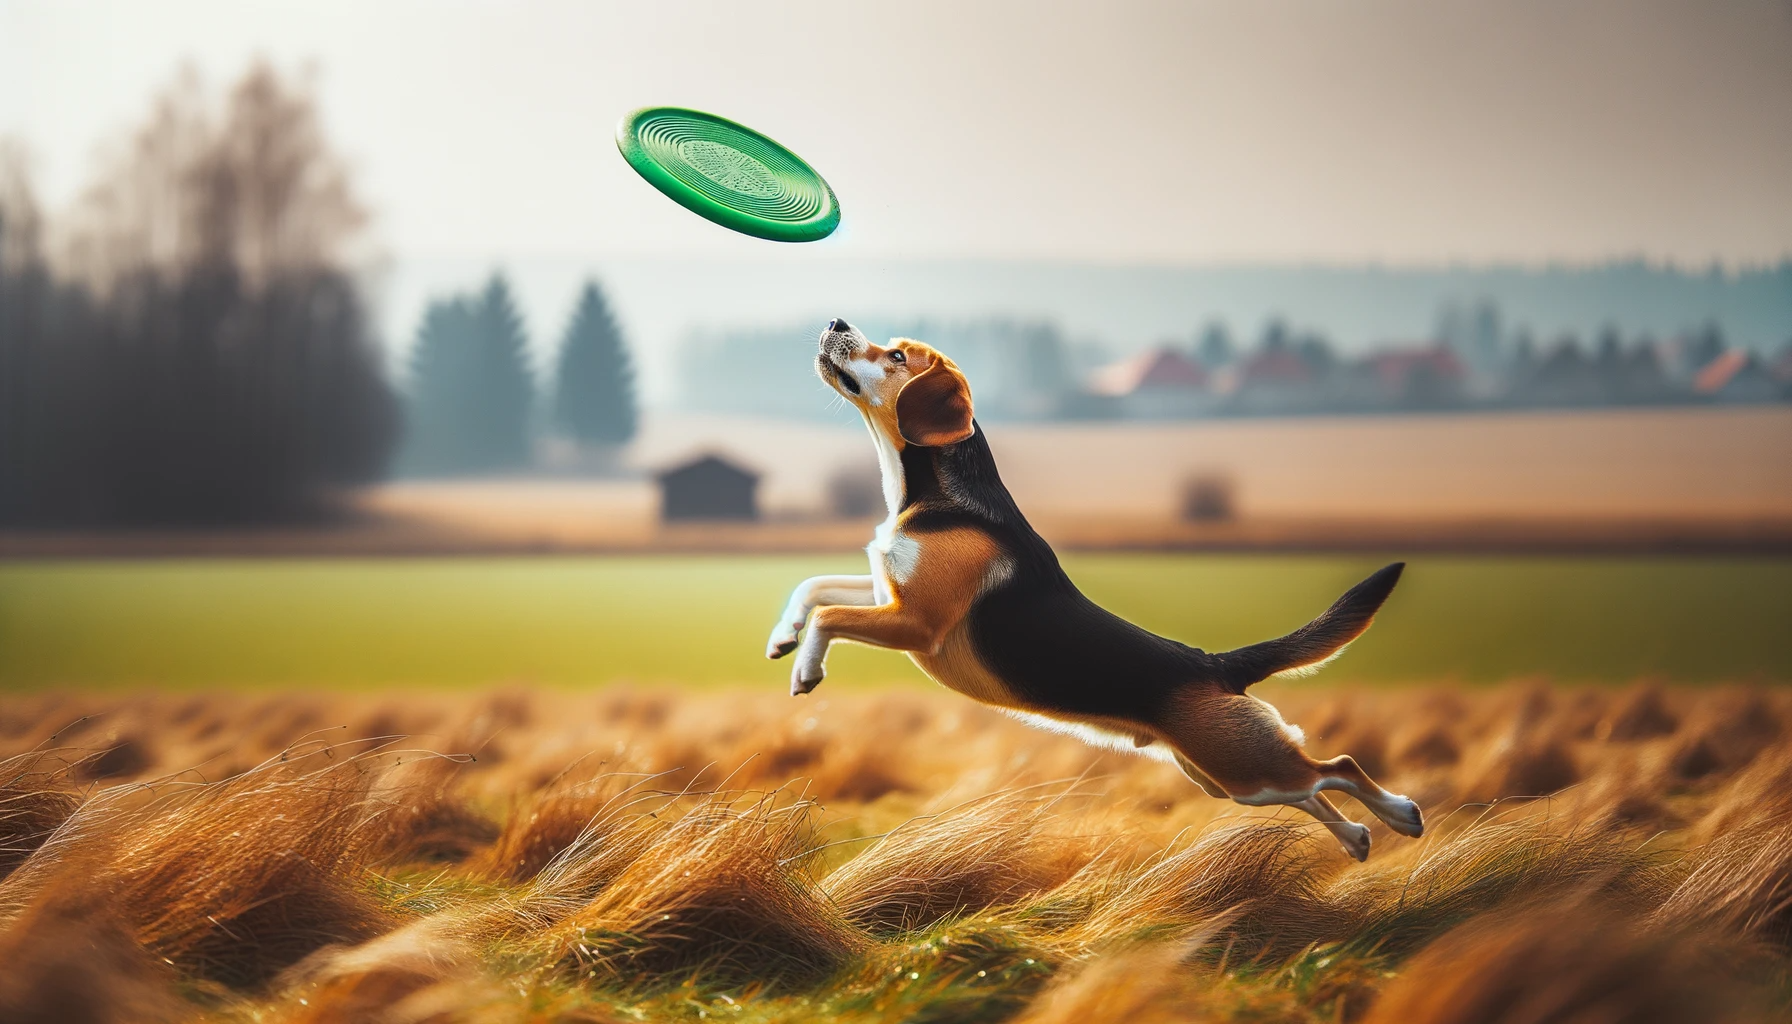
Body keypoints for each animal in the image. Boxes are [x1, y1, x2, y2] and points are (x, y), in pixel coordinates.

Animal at [770, 319, 1426, 857]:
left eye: (897, 356)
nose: (836, 321)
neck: (933, 490)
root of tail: (1216, 663)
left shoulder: (918, 623)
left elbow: (828, 615)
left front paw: (806, 668)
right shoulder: (893, 596)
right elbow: (814, 586)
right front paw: (783, 638)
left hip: (1244, 767)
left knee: (1337, 765)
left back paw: (1401, 812)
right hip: (1227, 778)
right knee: (1314, 787)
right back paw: (1358, 836)